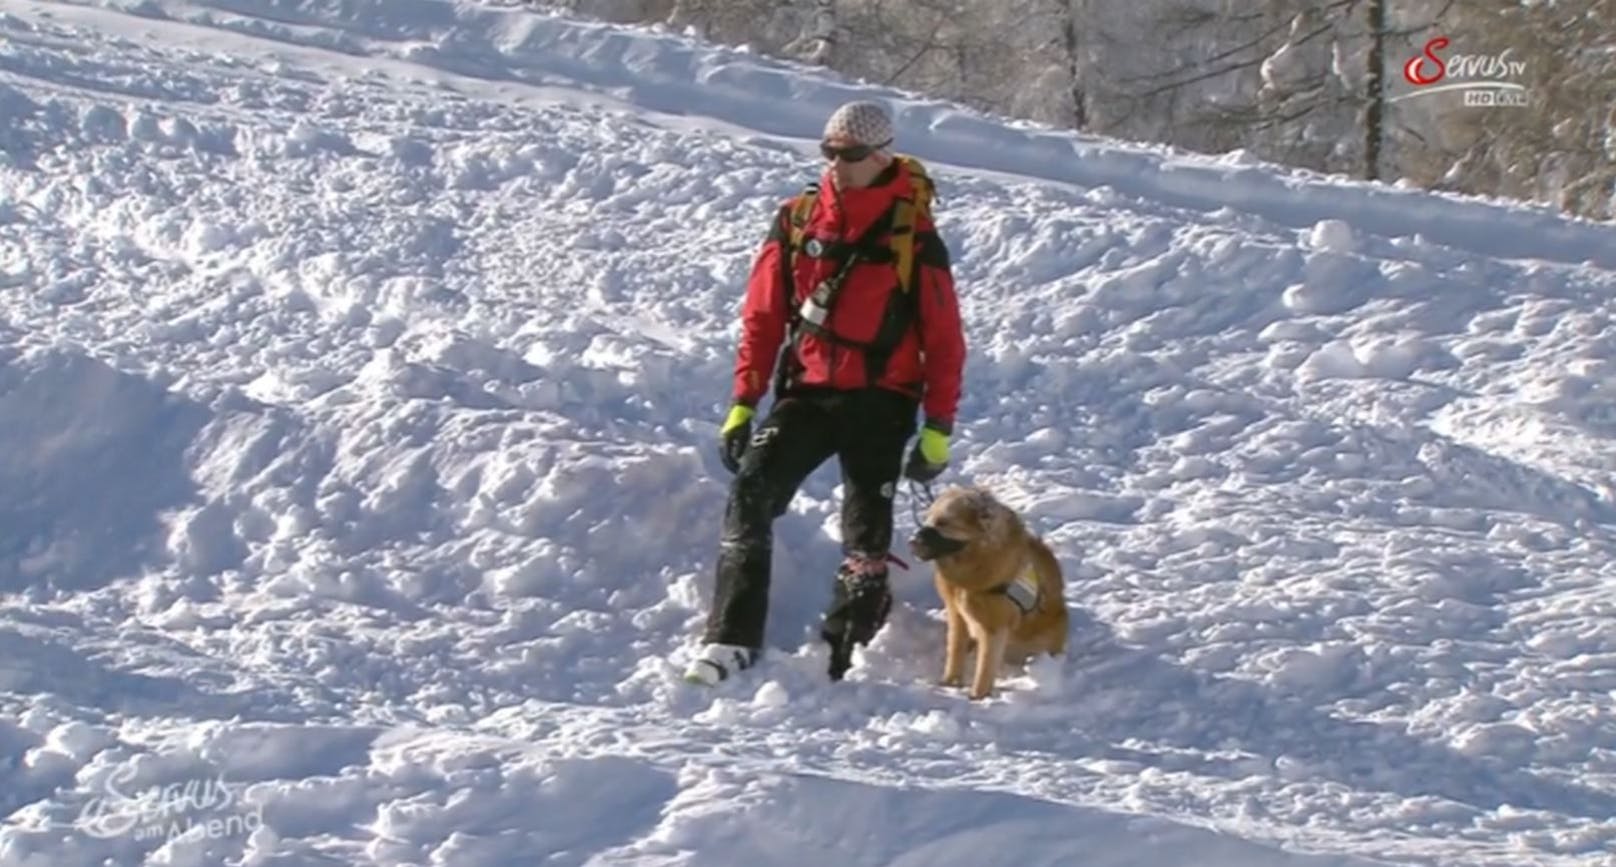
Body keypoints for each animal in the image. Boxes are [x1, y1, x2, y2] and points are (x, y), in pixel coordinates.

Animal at [904, 487, 1066, 697]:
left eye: (943, 523)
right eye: (927, 520)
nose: (912, 542)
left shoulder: (994, 628)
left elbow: (985, 666)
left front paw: (977, 696)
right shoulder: (957, 615)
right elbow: (955, 650)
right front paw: (950, 682)